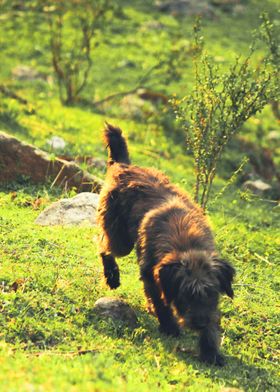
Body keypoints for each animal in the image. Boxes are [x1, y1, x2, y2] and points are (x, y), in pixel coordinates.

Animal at [97, 122, 235, 364]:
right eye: (186, 294)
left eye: (211, 292)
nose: (199, 323)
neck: (186, 243)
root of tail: (124, 165)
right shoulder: (152, 273)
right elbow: (161, 301)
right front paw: (169, 326)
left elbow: (212, 321)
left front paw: (211, 351)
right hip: (120, 238)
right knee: (104, 247)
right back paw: (112, 275)